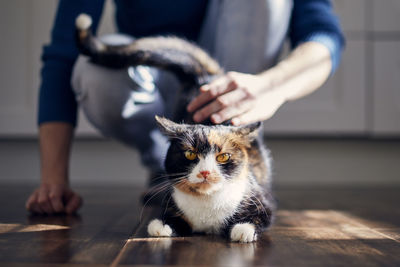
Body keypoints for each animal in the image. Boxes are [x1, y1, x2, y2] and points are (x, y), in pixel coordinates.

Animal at [75, 13, 276, 243]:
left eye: (223, 156)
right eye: (190, 154)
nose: (205, 172)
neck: (207, 207)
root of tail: (205, 79)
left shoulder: (262, 201)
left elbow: (260, 216)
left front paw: (242, 229)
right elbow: (173, 218)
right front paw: (161, 226)